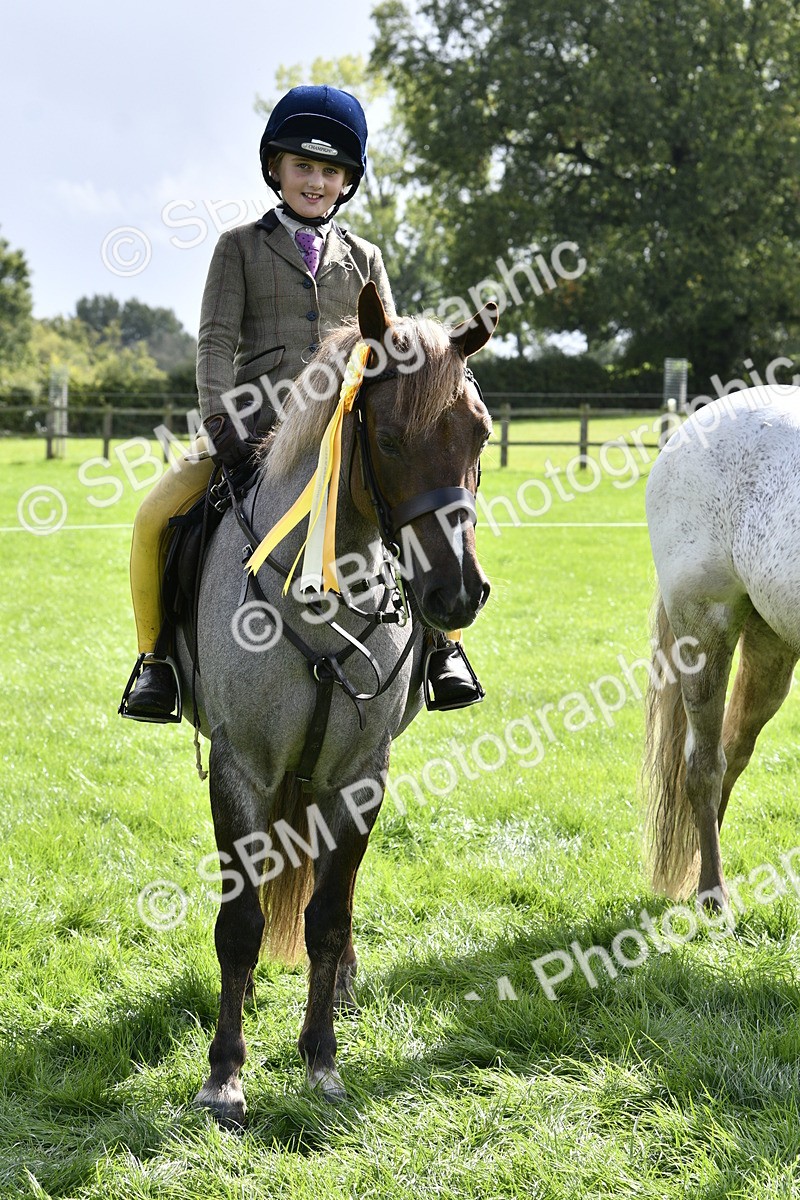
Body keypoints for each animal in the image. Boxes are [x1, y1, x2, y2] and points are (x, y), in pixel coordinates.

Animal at [175, 283, 498, 1127]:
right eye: (386, 436)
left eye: (481, 432)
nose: (458, 593)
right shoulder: (243, 771)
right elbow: (241, 922)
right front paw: (224, 1076)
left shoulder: (360, 774)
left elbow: (327, 916)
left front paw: (320, 1060)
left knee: (331, 889)